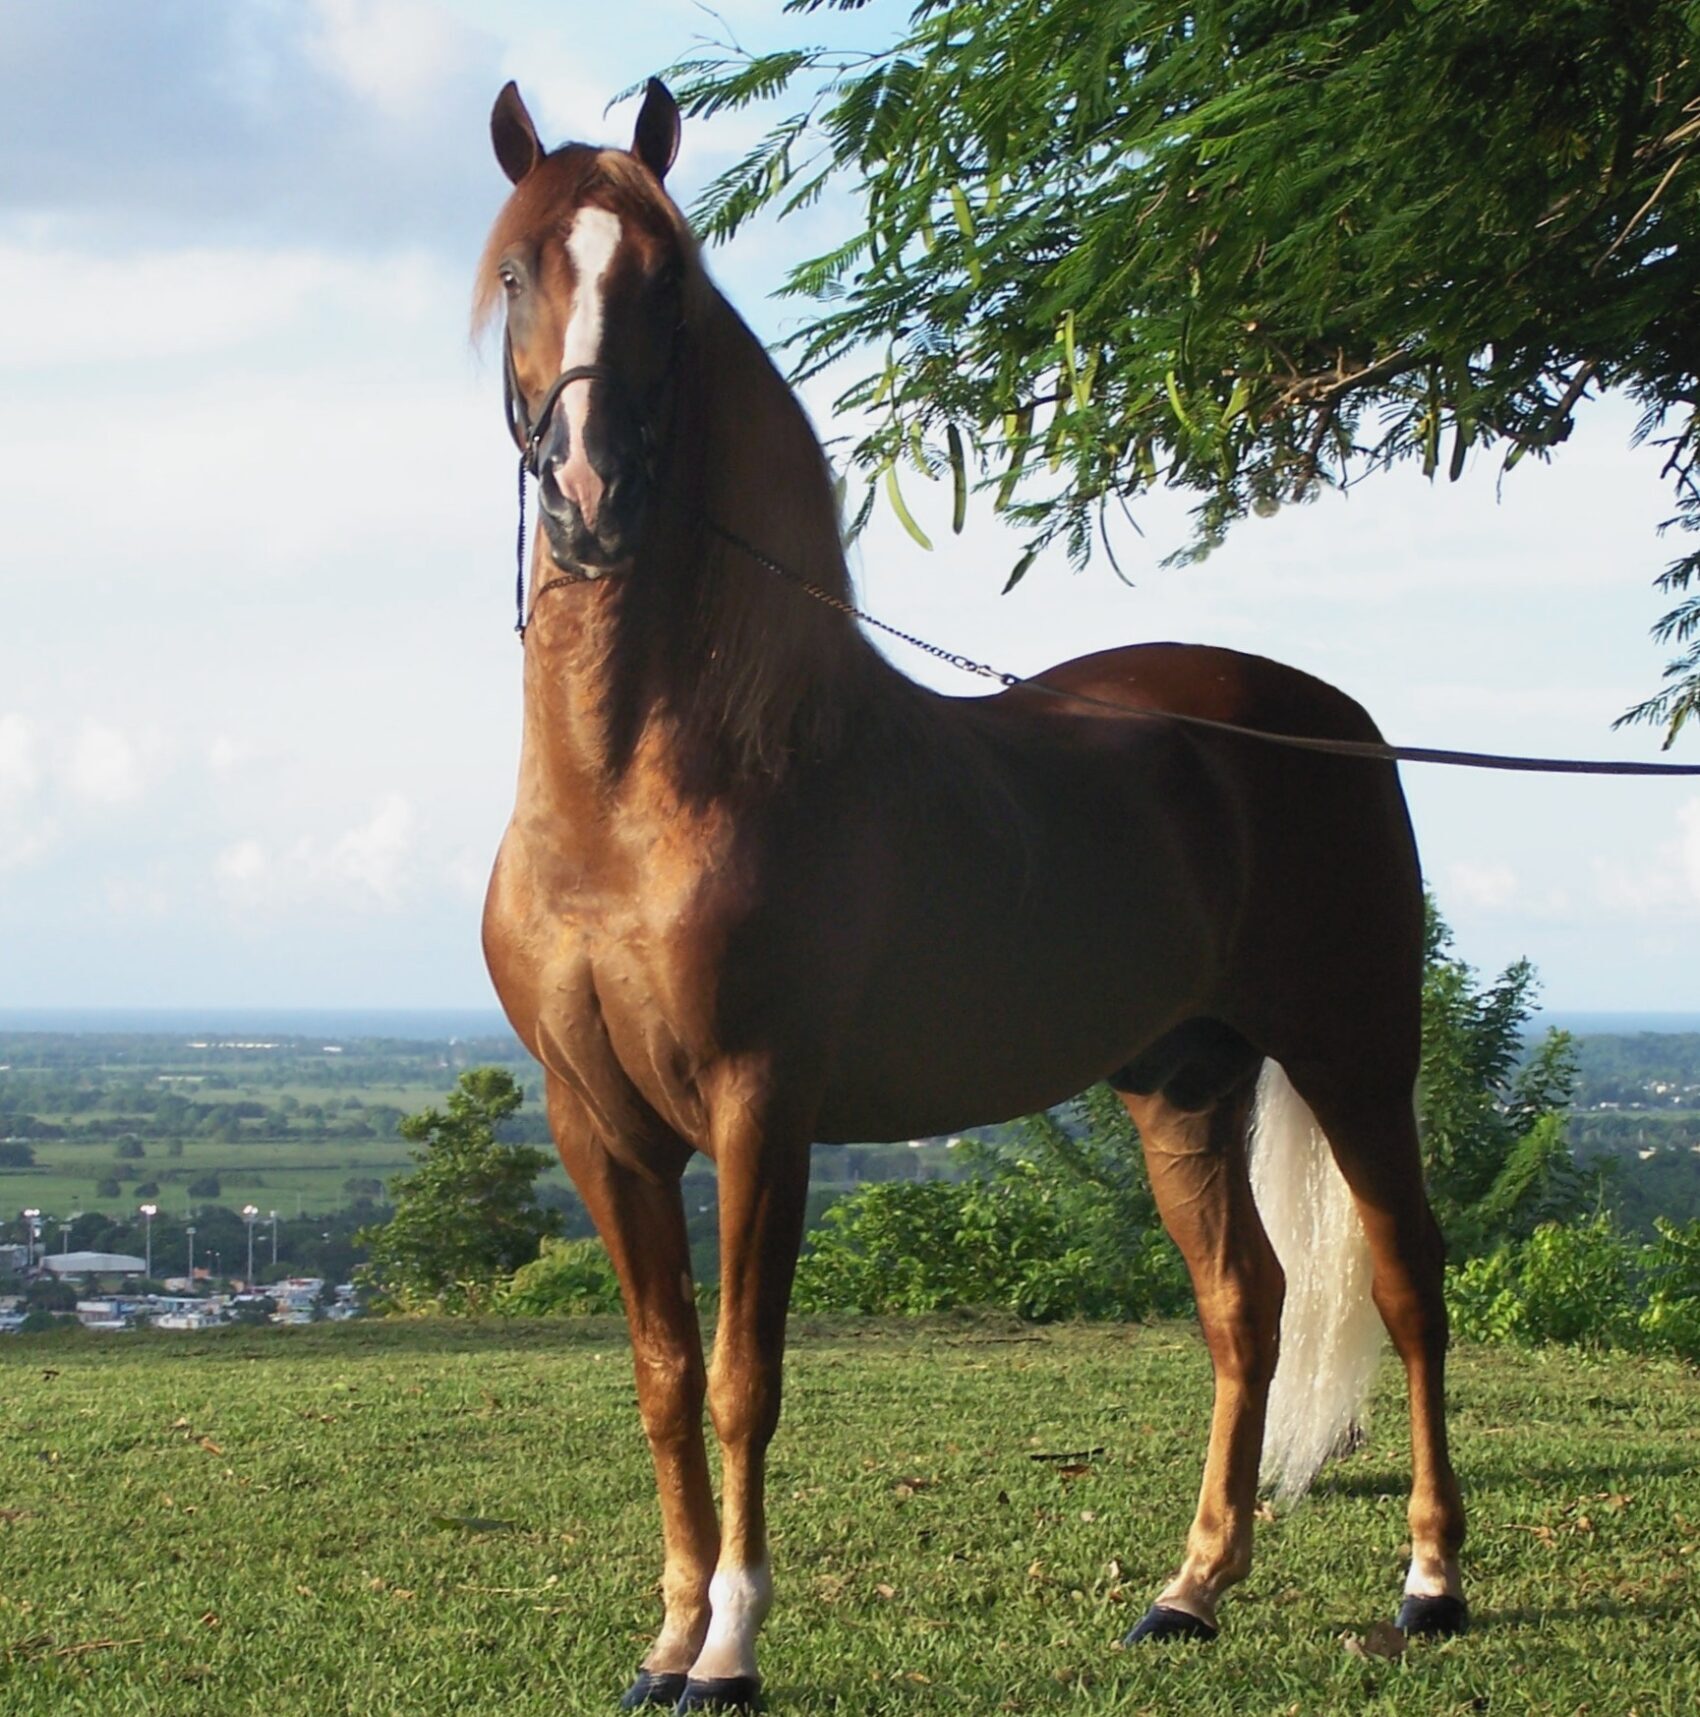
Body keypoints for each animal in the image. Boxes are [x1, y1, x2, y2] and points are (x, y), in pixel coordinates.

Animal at [473, 77, 1469, 1703]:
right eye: (517, 270)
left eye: (668, 282)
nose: (592, 495)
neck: (642, 790)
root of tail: (1324, 719)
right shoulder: (598, 1123)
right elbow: (664, 1375)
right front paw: (667, 1637)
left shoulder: (762, 1106)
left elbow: (744, 1377)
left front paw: (731, 1646)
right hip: (1181, 1085)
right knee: (1243, 1307)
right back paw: (1189, 1591)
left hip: (1354, 1056)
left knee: (1404, 1284)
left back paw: (1432, 1581)